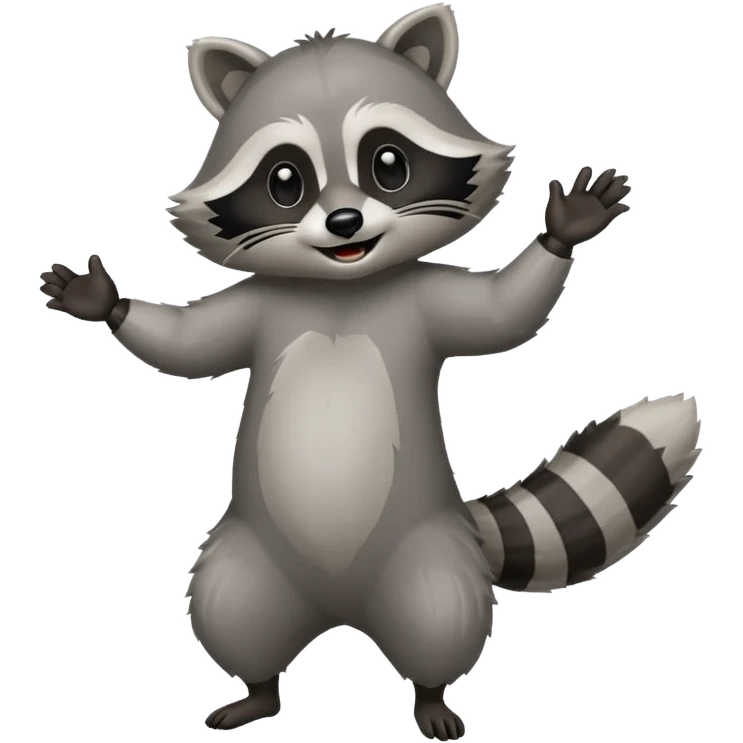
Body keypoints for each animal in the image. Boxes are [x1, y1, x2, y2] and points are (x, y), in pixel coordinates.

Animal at [40, 4, 702, 740]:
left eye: (389, 164)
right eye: (285, 181)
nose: (345, 221)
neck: (343, 285)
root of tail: (340, 609)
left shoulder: (421, 298)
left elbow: (502, 317)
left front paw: (563, 231)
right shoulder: (259, 304)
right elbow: (190, 346)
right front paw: (107, 304)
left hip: (427, 553)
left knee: (439, 617)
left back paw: (431, 695)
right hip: (252, 557)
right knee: (231, 608)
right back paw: (257, 690)